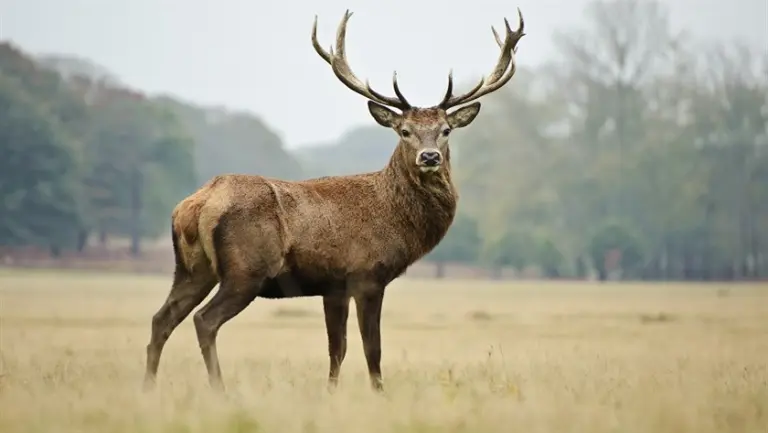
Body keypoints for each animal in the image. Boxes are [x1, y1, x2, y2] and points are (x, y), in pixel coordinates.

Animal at [141, 7, 524, 392]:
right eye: (404, 131)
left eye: (446, 130)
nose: (429, 156)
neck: (396, 219)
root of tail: (196, 204)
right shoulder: (367, 275)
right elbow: (372, 348)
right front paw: (379, 393)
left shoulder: (333, 286)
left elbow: (336, 348)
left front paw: (331, 392)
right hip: (245, 269)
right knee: (204, 320)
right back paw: (219, 389)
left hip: (192, 268)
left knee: (161, 318)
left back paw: (149, 387)